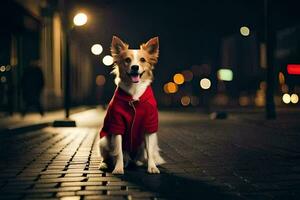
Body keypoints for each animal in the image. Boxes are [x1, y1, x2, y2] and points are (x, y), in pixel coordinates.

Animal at [98, 36, 165, 173]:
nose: (134, 67)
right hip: (103, 140)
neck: (134, 91)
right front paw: (118, 168)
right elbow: (118, 151)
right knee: (107, 156)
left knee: (142, 156)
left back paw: (139, 162)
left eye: (143, 60)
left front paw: (152, 167)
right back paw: (105, 164)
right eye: (127, 60)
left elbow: (149, 152)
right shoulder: (117, 124)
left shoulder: (149, 125)